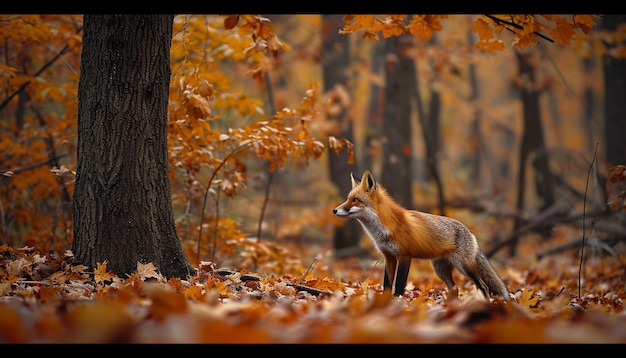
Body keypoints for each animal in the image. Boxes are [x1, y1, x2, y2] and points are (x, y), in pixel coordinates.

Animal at [332, 171, 508, 300]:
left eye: (355, 200)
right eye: (347, 198)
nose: (334, 210)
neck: (384, 227)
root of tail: (470, 232)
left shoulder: (405, 256)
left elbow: (399, 284)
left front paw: (397, 302)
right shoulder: (389, 256)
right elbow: (387, 284)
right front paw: (385, 301)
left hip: (465, 267)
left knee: (483, 286)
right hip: (440, 270)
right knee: (454, 288)